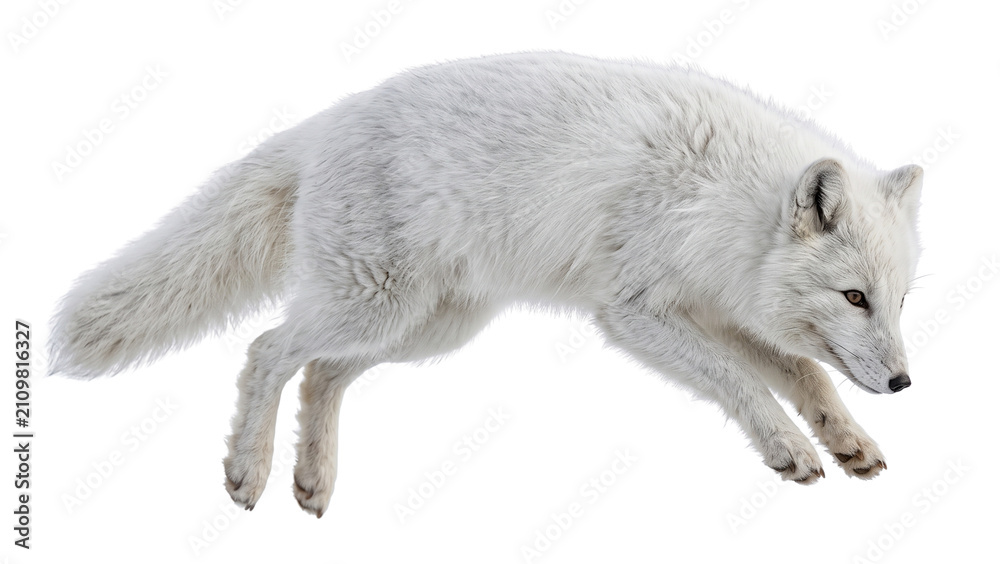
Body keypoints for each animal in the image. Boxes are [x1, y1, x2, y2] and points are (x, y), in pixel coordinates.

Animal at [50, 52, 923, 518]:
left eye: (901, 300)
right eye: (854, 297)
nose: (904, 383)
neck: (722, 200)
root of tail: (322, 125)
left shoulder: (723, 310)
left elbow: (806, 373)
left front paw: (848, 441)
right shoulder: (636, 312)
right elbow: (744, 384)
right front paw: (788, 449)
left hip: (424, 328)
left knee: (321, 376)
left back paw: (312, 479)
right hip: (373, 308)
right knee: (266, 349)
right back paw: (248, 472)